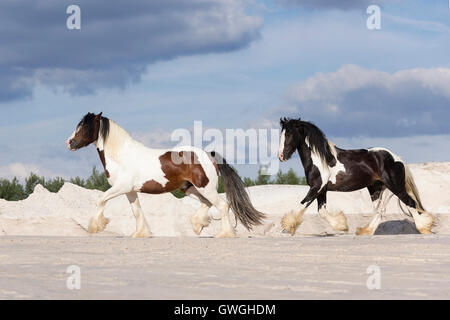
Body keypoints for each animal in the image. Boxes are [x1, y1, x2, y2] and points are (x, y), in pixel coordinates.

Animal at [66, 112, 264, 238]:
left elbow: (100, 200)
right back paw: (198, 225)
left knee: (223, 205)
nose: (70, 143)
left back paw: (224, 234)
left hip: (205, 188)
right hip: (190, 189)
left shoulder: (120, 187)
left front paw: (95, 227)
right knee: (207, 204)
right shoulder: (130, 191)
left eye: (85, 127)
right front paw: (140, 233)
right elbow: (136, 211)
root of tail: (209, 155)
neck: (121, 156)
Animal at [276, 117, 434, 235]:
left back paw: (424, 228)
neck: (321, 161)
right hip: (378, 189)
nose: (281, 156)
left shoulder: (316, 187)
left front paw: (286, 227)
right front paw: (342, 226)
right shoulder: (322, 190)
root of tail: (396, 158)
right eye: (282, 134)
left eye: (289, 134)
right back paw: (365, 231)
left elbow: (301, 206)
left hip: (395, 187)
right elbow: (321, 212)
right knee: (380, 211)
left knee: (410, 203)